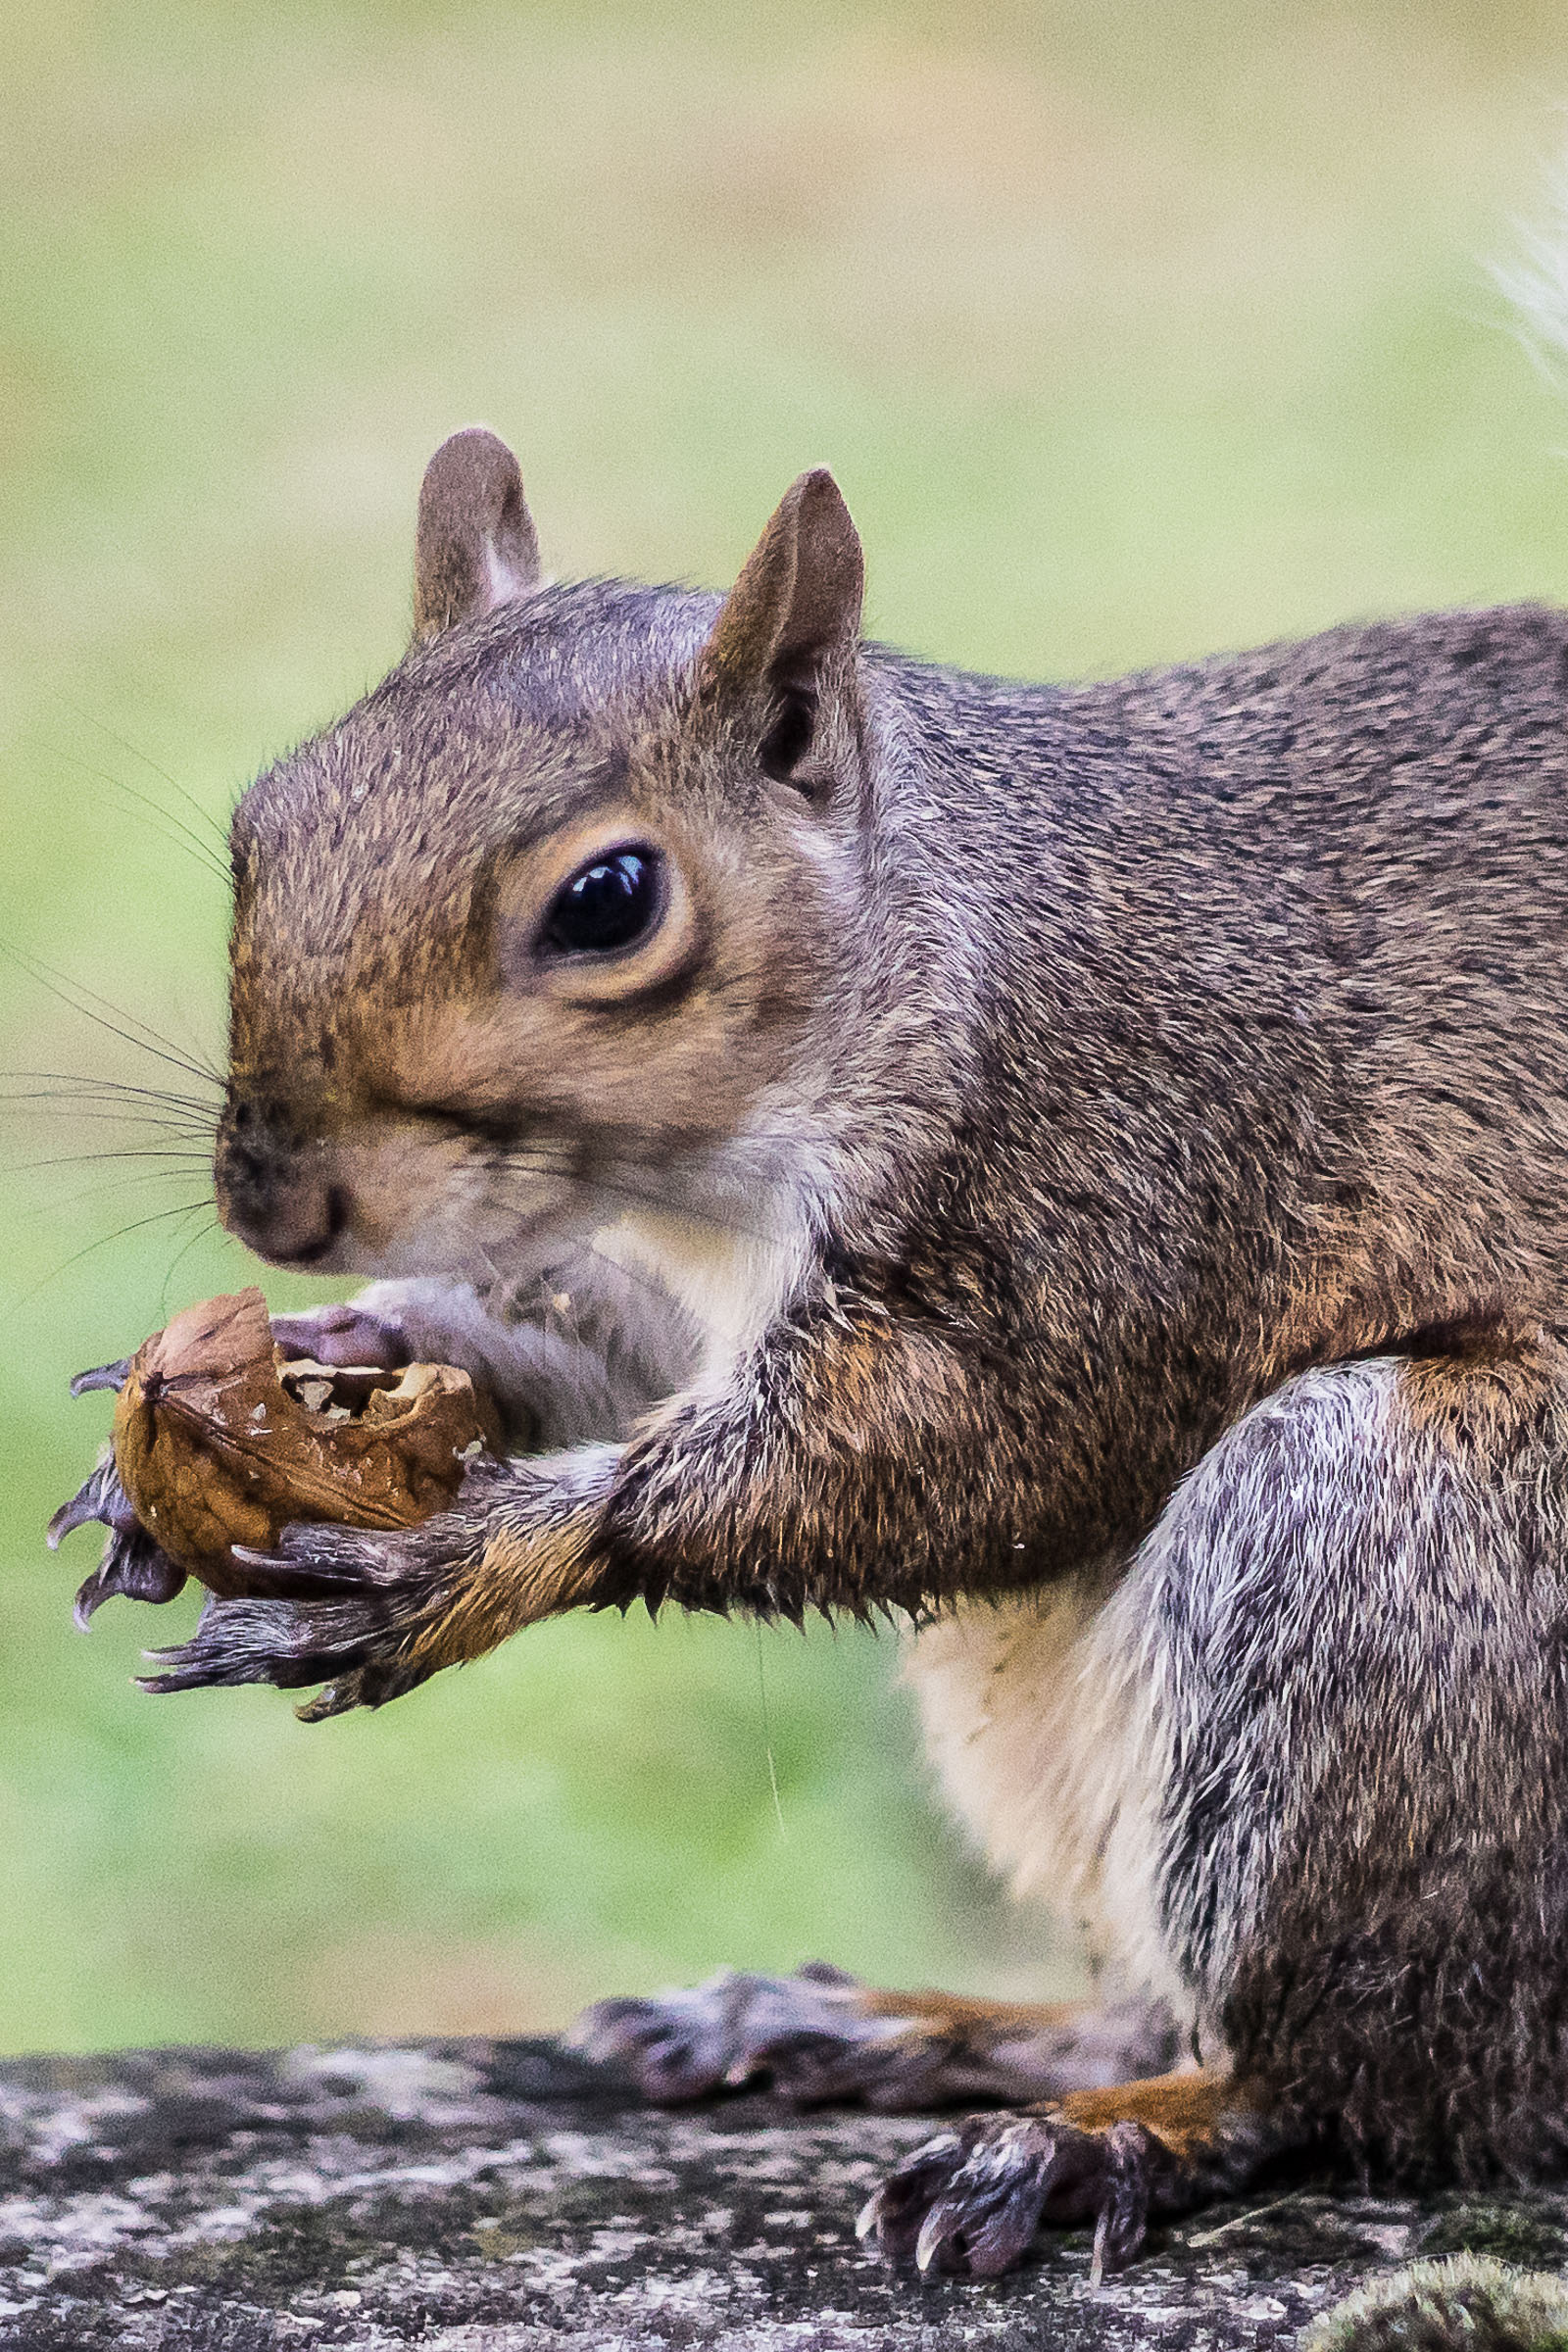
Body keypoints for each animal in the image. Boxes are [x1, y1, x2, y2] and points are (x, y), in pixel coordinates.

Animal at [125, 421, 1568, 2278]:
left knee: (1345, 2084)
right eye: (265, 822)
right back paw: (885, 2030)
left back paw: (1110, 2139)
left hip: (1396, 1571)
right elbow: (599, 1353)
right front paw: (336, 1358)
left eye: (610, 899)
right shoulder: (675, 1284)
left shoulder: (1125, 1160)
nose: (274, 1202)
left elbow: (962, 1450)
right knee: (1155, 2001)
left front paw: (473, 1558)